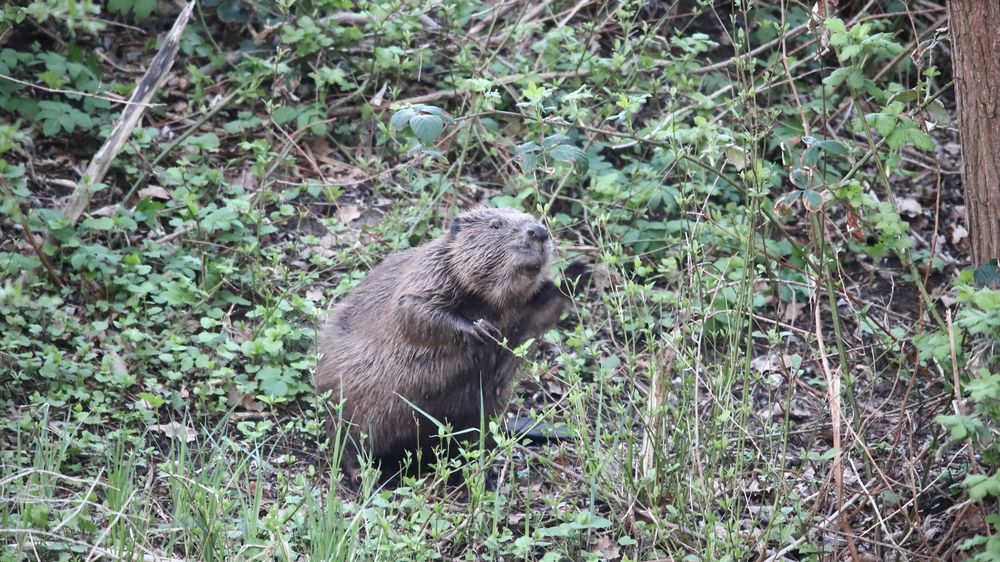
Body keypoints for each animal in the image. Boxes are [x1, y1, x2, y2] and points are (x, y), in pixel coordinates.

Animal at [316, 208, 588, 480]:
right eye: (496, 225)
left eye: (532, 218)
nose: (539, 232)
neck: (491, 301)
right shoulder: (431, 271)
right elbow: (413, 309)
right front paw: (479, 328)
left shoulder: (522, 311)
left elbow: (541, 315)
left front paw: (577, 271)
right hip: (351, 405)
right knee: (348, 440)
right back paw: (363, 473)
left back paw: (478, 472)